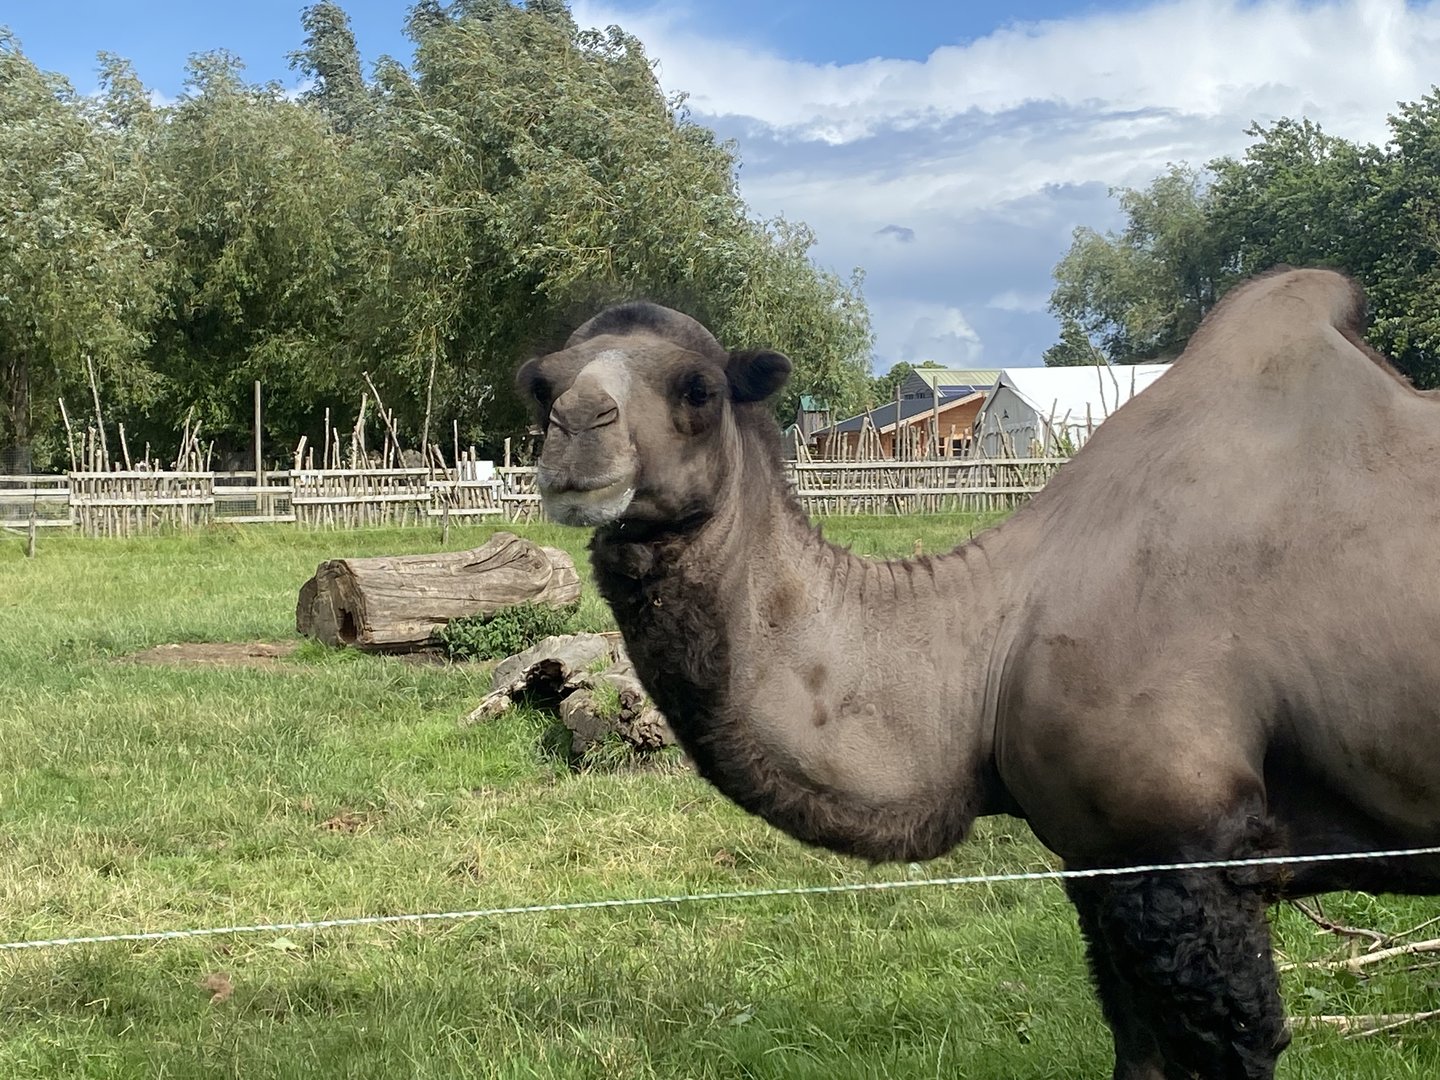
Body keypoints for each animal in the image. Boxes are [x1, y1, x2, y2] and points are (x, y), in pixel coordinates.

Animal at [513, 268, 1440, 1079]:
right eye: (541, 385)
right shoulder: (1103, 863)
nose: (576, 431)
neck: (987, 649)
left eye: (700, 389)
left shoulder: (1188, 848)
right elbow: (1135, 1055)